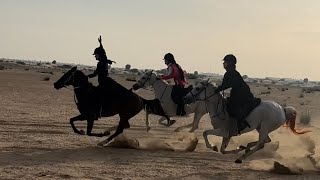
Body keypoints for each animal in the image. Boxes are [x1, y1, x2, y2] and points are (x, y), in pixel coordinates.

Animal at [184, 79, 312, 163]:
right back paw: (246, 147)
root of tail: (283, 109)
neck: (220, 108)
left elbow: (205, 133)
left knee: (261, 144)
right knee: (266, 140)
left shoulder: (223, 131)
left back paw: (242, 158)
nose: (186, 98)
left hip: (264, 127)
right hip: (260, 127)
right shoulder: (227, 135)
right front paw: (237, 149)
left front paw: (212, 146)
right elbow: (222, 150)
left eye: (198, 88)